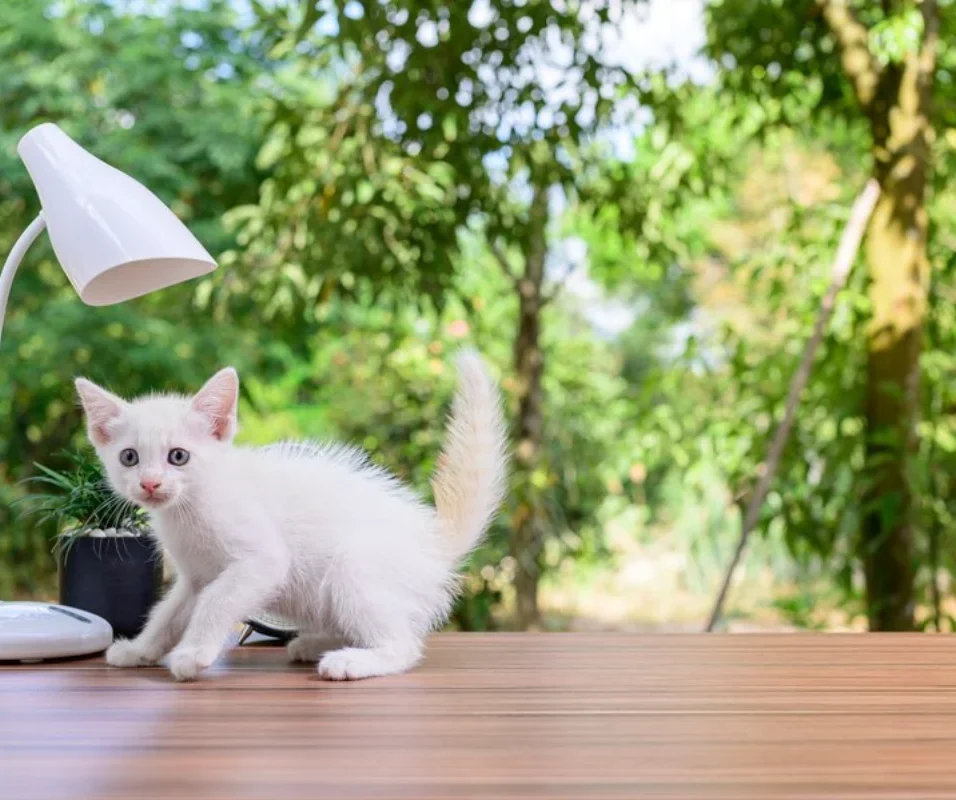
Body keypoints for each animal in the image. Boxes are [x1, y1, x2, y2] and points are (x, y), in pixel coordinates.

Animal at [74, 352, 508, 680]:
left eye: (178, 456)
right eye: (129, 457)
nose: (149, 483)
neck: (191, 507)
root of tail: (434, 540)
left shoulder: (261, 559)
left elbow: (216, 601)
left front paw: (193, 654)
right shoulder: (195, 575)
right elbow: (168, 612)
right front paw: (140, 650)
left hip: (356, 566)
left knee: (404, 645)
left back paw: (351, 661)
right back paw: (315, 643)